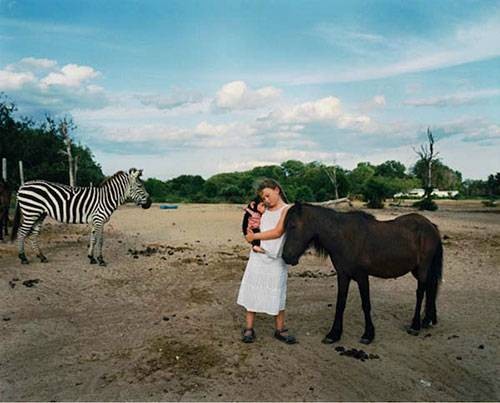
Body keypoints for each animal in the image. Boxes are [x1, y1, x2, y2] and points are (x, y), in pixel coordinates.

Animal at [10, 168, 151, 266]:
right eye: (139, 186)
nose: (149, 203)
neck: (107, 198)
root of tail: (22, 186)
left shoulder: (95, 221)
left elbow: (93, 239)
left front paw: (91, 258)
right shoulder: (99, 220)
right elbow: (100, 240)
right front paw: (101, 260)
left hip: (39, 214)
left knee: (33, 234)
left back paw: (41, 257)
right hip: (31, 212)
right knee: (21, 233)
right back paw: (23, 258)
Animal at [284, 204, 444, 346]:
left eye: (292, 226)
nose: (286, 257)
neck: (344, 237)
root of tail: (430, 225)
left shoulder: (362, 277)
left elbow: (366, 304)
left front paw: (368, 335)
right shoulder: (343, 276)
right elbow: (340, 303)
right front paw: (334, 334)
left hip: (422, 269)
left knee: (420, 293)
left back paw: (415, 326)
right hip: (418, 270)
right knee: (430, 288)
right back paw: (427, 320)